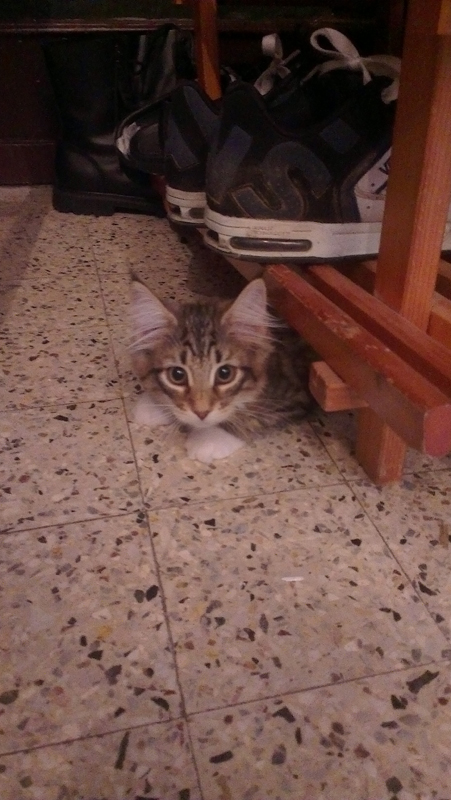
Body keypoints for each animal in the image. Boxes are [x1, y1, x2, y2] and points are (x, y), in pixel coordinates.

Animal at [129, 276, 314, 463]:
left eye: (225, 374)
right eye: (177, 375)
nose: (201, 413)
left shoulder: (295, 393)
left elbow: (252, 417)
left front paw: (209, 438)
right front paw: (155, 405)